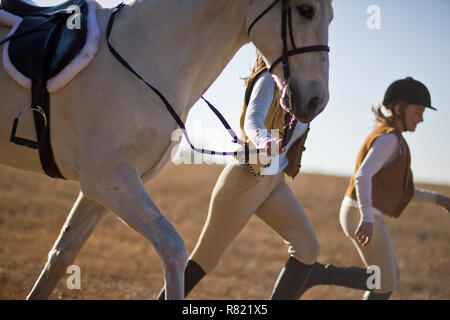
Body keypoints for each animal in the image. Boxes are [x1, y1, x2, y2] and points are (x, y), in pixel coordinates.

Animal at [0, 0, 334, 300]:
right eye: (306, 10)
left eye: (331, 16)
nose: (317, 101)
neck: (145, 54)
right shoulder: (109, 178)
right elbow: (173, 248)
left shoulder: (100, 187)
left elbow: (61, 256)